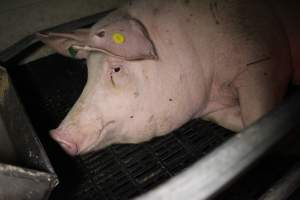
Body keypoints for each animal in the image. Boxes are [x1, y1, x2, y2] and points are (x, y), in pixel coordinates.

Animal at [37, 0, 300, 155]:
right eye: (88, 72)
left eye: (117, 69)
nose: (57, 136)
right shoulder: (211, 107)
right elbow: (241, 121)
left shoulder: (261, 61)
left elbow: (258, 114)